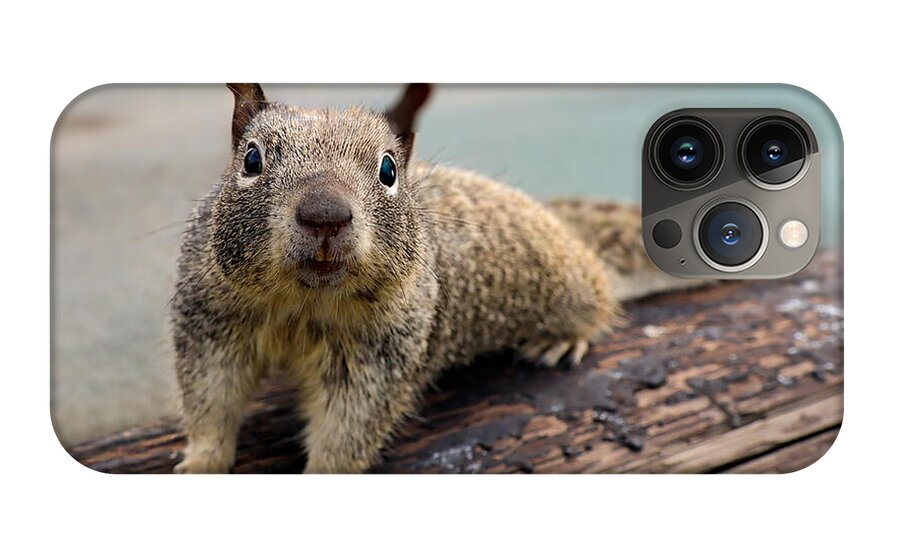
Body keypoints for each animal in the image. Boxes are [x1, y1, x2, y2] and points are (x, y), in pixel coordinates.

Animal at [172, 83, 690, 473]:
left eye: (388, 169)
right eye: (252, 159)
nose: (325, 215)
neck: (303, 304)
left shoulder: (380, 354)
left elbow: (348, 429)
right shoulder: (211, 323)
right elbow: (210, 401)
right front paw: (200, 463)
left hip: (570, 283)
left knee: (598, 296)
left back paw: (563, 338)